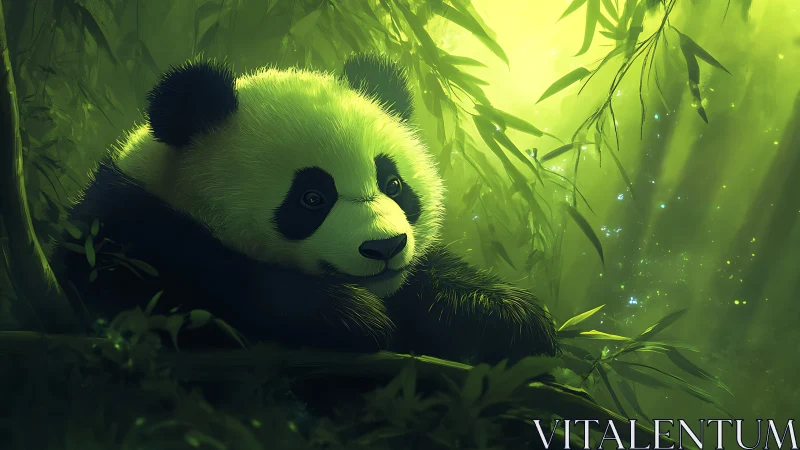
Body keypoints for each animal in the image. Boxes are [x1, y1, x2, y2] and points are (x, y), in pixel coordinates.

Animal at [53, 53, 558, 366]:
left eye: (393, 184)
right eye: (312, 198)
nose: (385, 248)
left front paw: (508, 317)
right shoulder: (126, 226)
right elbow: (175, 287)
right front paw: (353, 318)